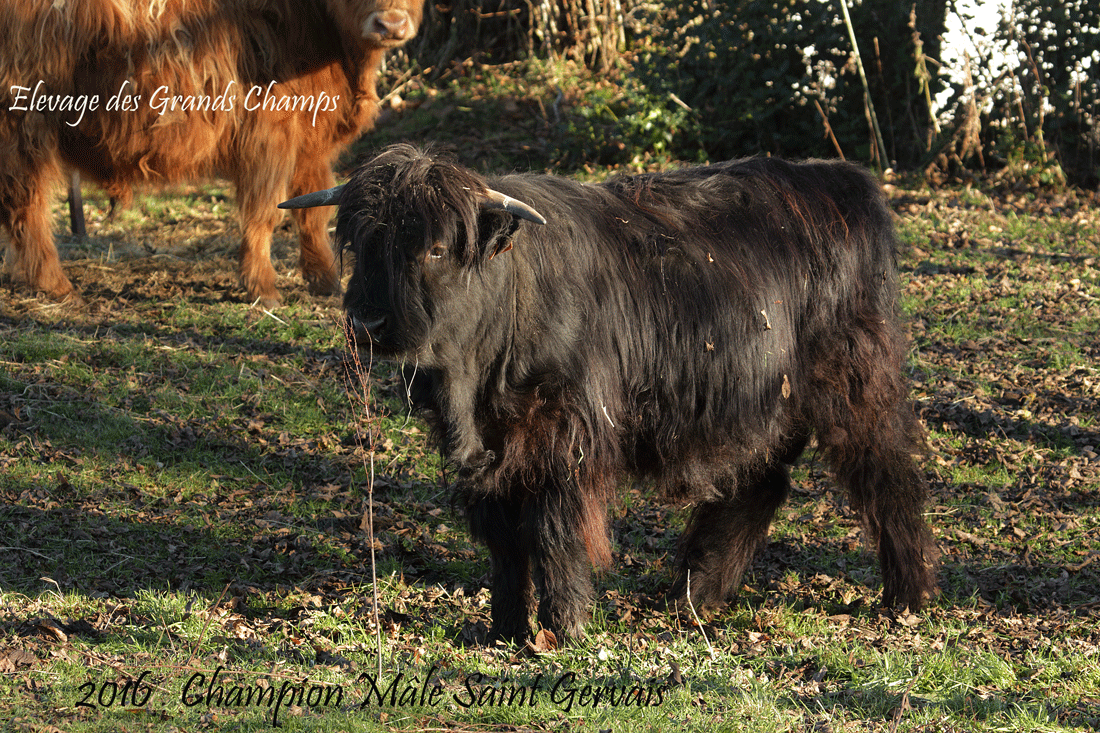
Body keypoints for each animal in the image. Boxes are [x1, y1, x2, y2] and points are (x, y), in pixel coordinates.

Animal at [281, 144, 937, 638]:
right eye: (361, 243)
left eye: (436, 248)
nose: (367, 321)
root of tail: (840, 181)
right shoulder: (490, 455)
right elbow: (504, 540)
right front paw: (504, 629)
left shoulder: (565, 437)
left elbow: (555, 529)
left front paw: (563, 627)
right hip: (754, 405)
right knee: (759, 484)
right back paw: (695, 594)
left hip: (855, 384)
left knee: (888, 475)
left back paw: (906, 597)